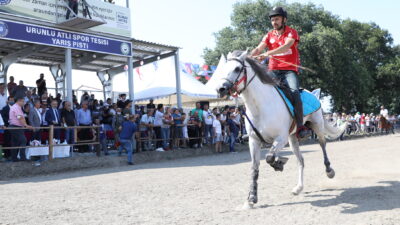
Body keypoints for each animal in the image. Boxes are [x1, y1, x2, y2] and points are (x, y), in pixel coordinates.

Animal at [216, 50, 346, 208]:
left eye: (237, 68)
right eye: (222, 68)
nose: (220, 89)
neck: (261, 107)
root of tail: (313, 93)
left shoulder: (280, 138)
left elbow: (269, 157)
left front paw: (279, 163)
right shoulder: (254, 141)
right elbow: (255, 167)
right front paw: (251, 198)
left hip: (317, 126)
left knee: (323, 145)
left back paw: (329, 171)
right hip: (292, 138)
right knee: (301, 160)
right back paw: (298, 188)